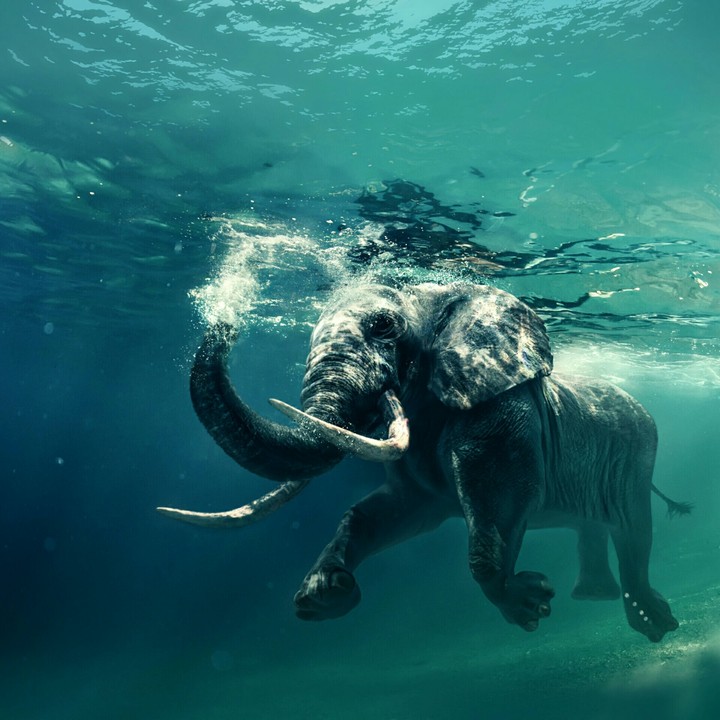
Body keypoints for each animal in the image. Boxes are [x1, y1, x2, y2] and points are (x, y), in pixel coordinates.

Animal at [158, 281, 690, 642]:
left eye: (383, 327)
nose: (226, 318)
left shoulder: (500, 411)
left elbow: (500, 501)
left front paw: (530, 604)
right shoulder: (417, 471)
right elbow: (386, 512)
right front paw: (323, 596)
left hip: (638, 454)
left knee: (633, 530)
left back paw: (654, 623)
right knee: (595, 526)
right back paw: (595, 598)